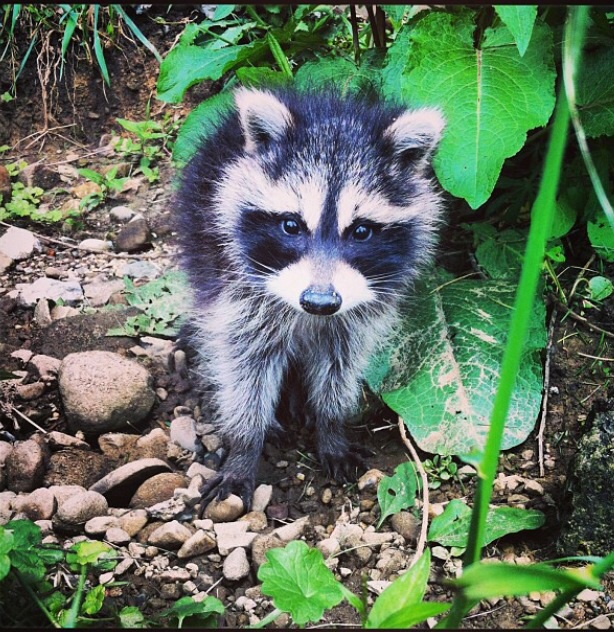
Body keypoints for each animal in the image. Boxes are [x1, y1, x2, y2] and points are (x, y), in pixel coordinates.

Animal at [176, 87, 446, 508]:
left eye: (361, 231)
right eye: (291, 225)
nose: (319, 303)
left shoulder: (358, 311)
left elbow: (341, 363)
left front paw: (330, 424)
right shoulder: (238, 288)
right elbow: (244, 364)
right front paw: (245, 445)